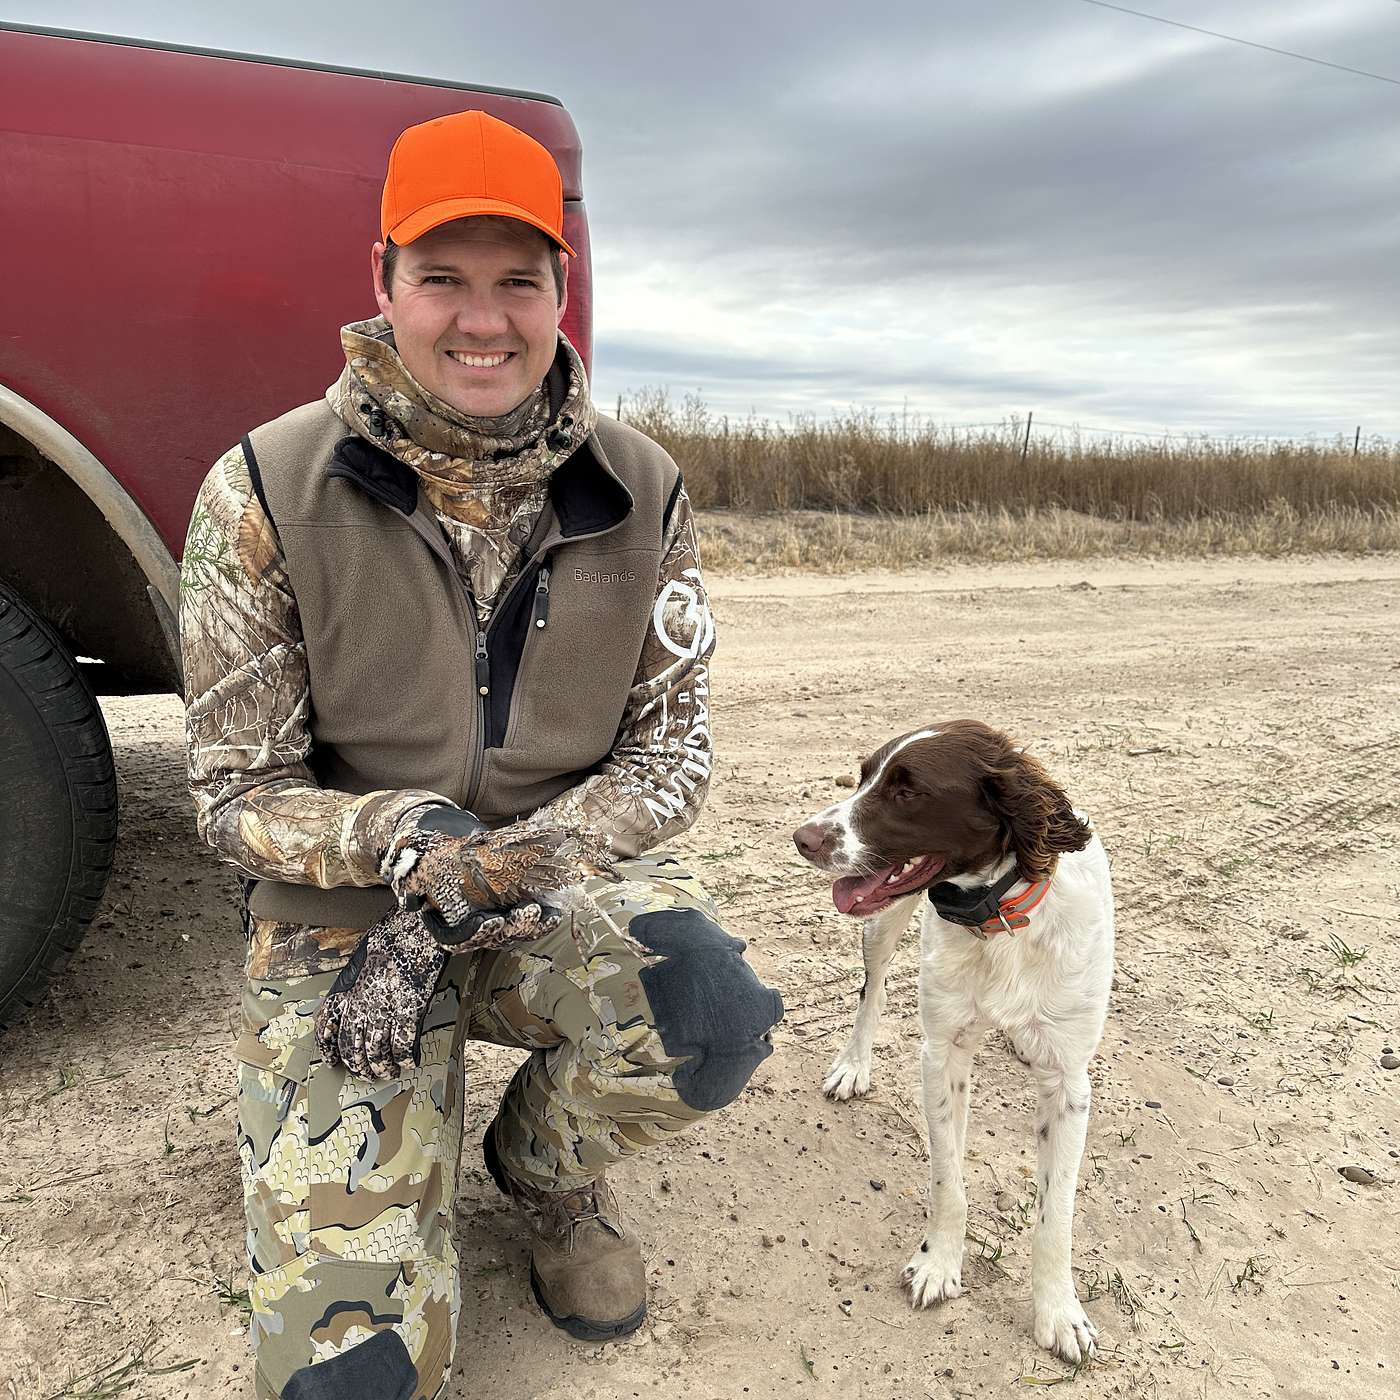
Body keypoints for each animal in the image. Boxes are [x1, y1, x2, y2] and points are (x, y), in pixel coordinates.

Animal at [800, 728, 1114, 1360]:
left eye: (908, 791)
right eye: (863, 777)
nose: (803, 838)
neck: (998, 921)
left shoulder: (1069, 1082)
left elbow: (1056, 1213)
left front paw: (1059, 1311)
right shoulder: (941, 1053)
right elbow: (949, 1181)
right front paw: (939, 1263)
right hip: (883, 924)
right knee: (872, 990)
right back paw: (853, 1064)